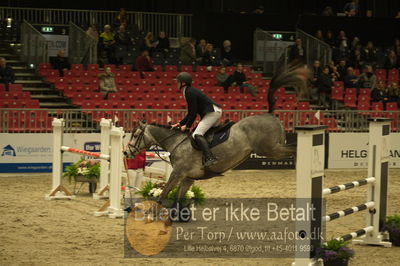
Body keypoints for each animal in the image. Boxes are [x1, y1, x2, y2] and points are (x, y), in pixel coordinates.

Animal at [126, 62, 308, 203]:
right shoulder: (188, 178)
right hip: (272, 149)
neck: (175, 143)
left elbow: (161, 197)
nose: (126, 152)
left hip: (269, 149)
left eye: (135, 135)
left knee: (294, 148)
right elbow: (176, 202)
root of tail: (269, 114)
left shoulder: (177, 174)